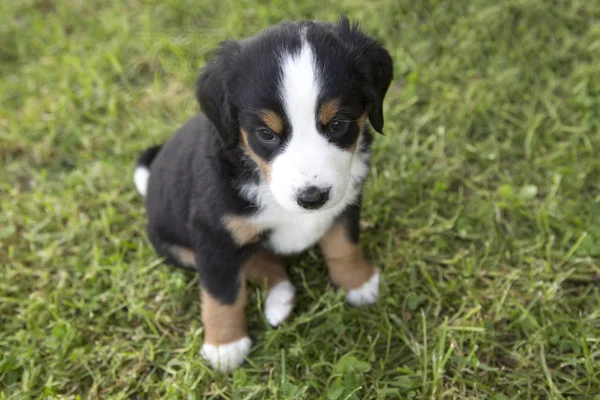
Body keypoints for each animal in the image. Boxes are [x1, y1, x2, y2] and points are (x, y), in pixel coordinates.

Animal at [132, 16, 394, 372]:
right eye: (266, 134)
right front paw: (224, 345)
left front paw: (358, 282)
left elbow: (343, 245)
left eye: (338, 123)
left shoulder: (346, 201)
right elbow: (222, 294)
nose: (312, 198)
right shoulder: (215, 236)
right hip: (176, 247)